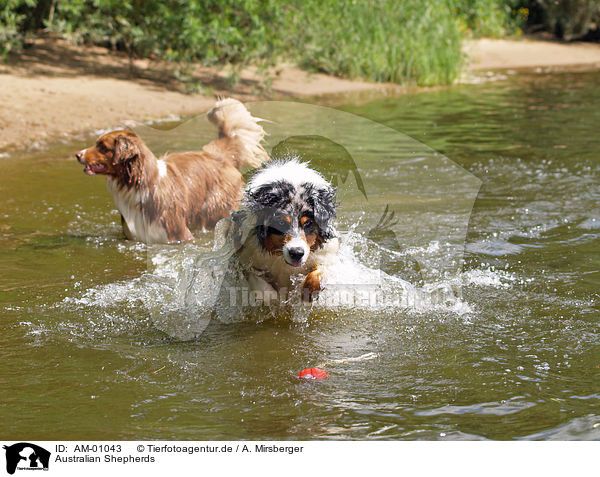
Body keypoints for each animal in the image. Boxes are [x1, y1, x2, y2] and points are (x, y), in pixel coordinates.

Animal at [76, 98, 268, 244]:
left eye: (102, 147)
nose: (78, 155)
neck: (136, 185)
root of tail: (219, 155)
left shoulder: (178, 234)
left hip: (216, 211)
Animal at [226, 160, 340, 302]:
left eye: (308, 223)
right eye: (281, 223)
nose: (296, 253)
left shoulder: (327, 257)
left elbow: (318, 273)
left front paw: (307, 291)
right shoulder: (246, 258)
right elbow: (260, 285)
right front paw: (271, 297)